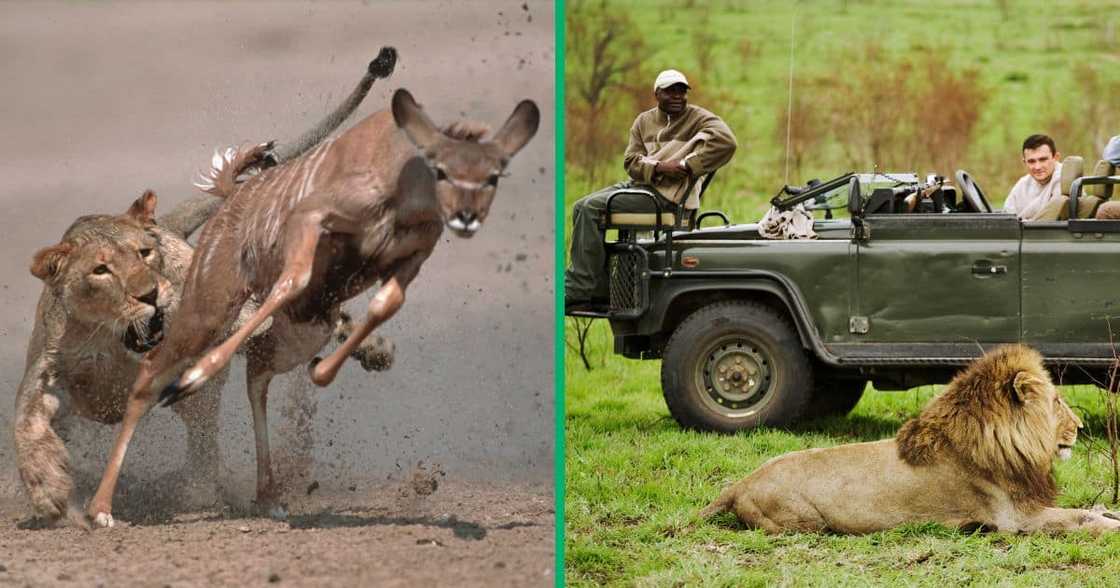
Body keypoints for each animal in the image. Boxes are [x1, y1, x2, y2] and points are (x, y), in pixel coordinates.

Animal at [699, 344, 1120, 534]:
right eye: (1057, 402)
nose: (1081, 426)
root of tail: (739, 484)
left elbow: (1089, 509)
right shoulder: (1015, 519)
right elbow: (1079, 517)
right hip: (804, 521)